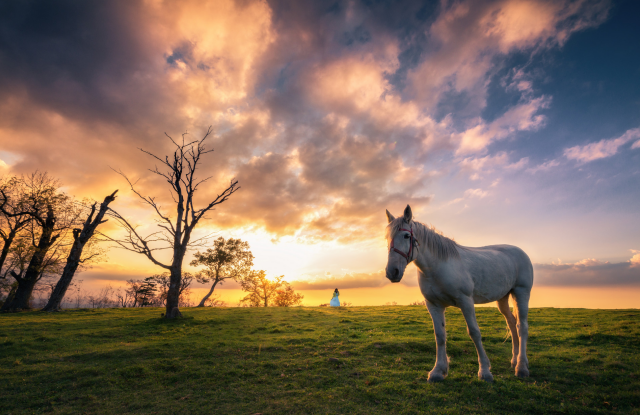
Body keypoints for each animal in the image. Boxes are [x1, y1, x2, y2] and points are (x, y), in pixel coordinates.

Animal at [388, 206, 532, 384]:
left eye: (406, 236)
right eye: (387, 237)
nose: (392, 272)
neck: (438, 266)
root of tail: (520, 252)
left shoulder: (466, 302)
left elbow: (474, 333)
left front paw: (485, 371)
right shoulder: (434, 305)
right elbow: (440, 335)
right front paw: (438, 371)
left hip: (521, 292)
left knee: (522, 326)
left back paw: (522, 367)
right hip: (503, 298)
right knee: (512, 323)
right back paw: (515, 360)